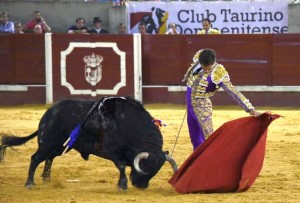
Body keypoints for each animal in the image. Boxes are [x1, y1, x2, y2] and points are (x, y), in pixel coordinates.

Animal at [0, 96, 177, 190]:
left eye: (156, 170)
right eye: (145, 166)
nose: (141, 185)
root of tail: (49, 113)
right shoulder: (111, 150)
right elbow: (120, 166)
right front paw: (122, 185)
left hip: (59, 146)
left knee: (49, 158)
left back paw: (46, 179)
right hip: (47, 143)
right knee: (36, 158)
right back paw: (30, 183)